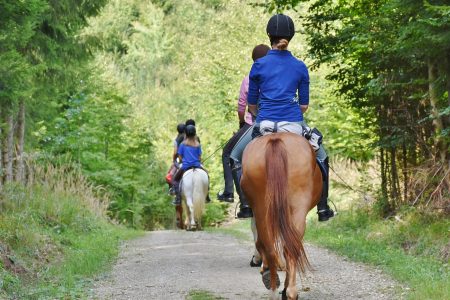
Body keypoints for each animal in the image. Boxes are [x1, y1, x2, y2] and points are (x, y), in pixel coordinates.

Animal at [241, 132, 322, 298]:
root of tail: (275, 139)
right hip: (295, 208)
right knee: (285, 247)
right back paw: (287, 290)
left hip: (263, 208)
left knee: (273, 246)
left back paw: (277, 287)